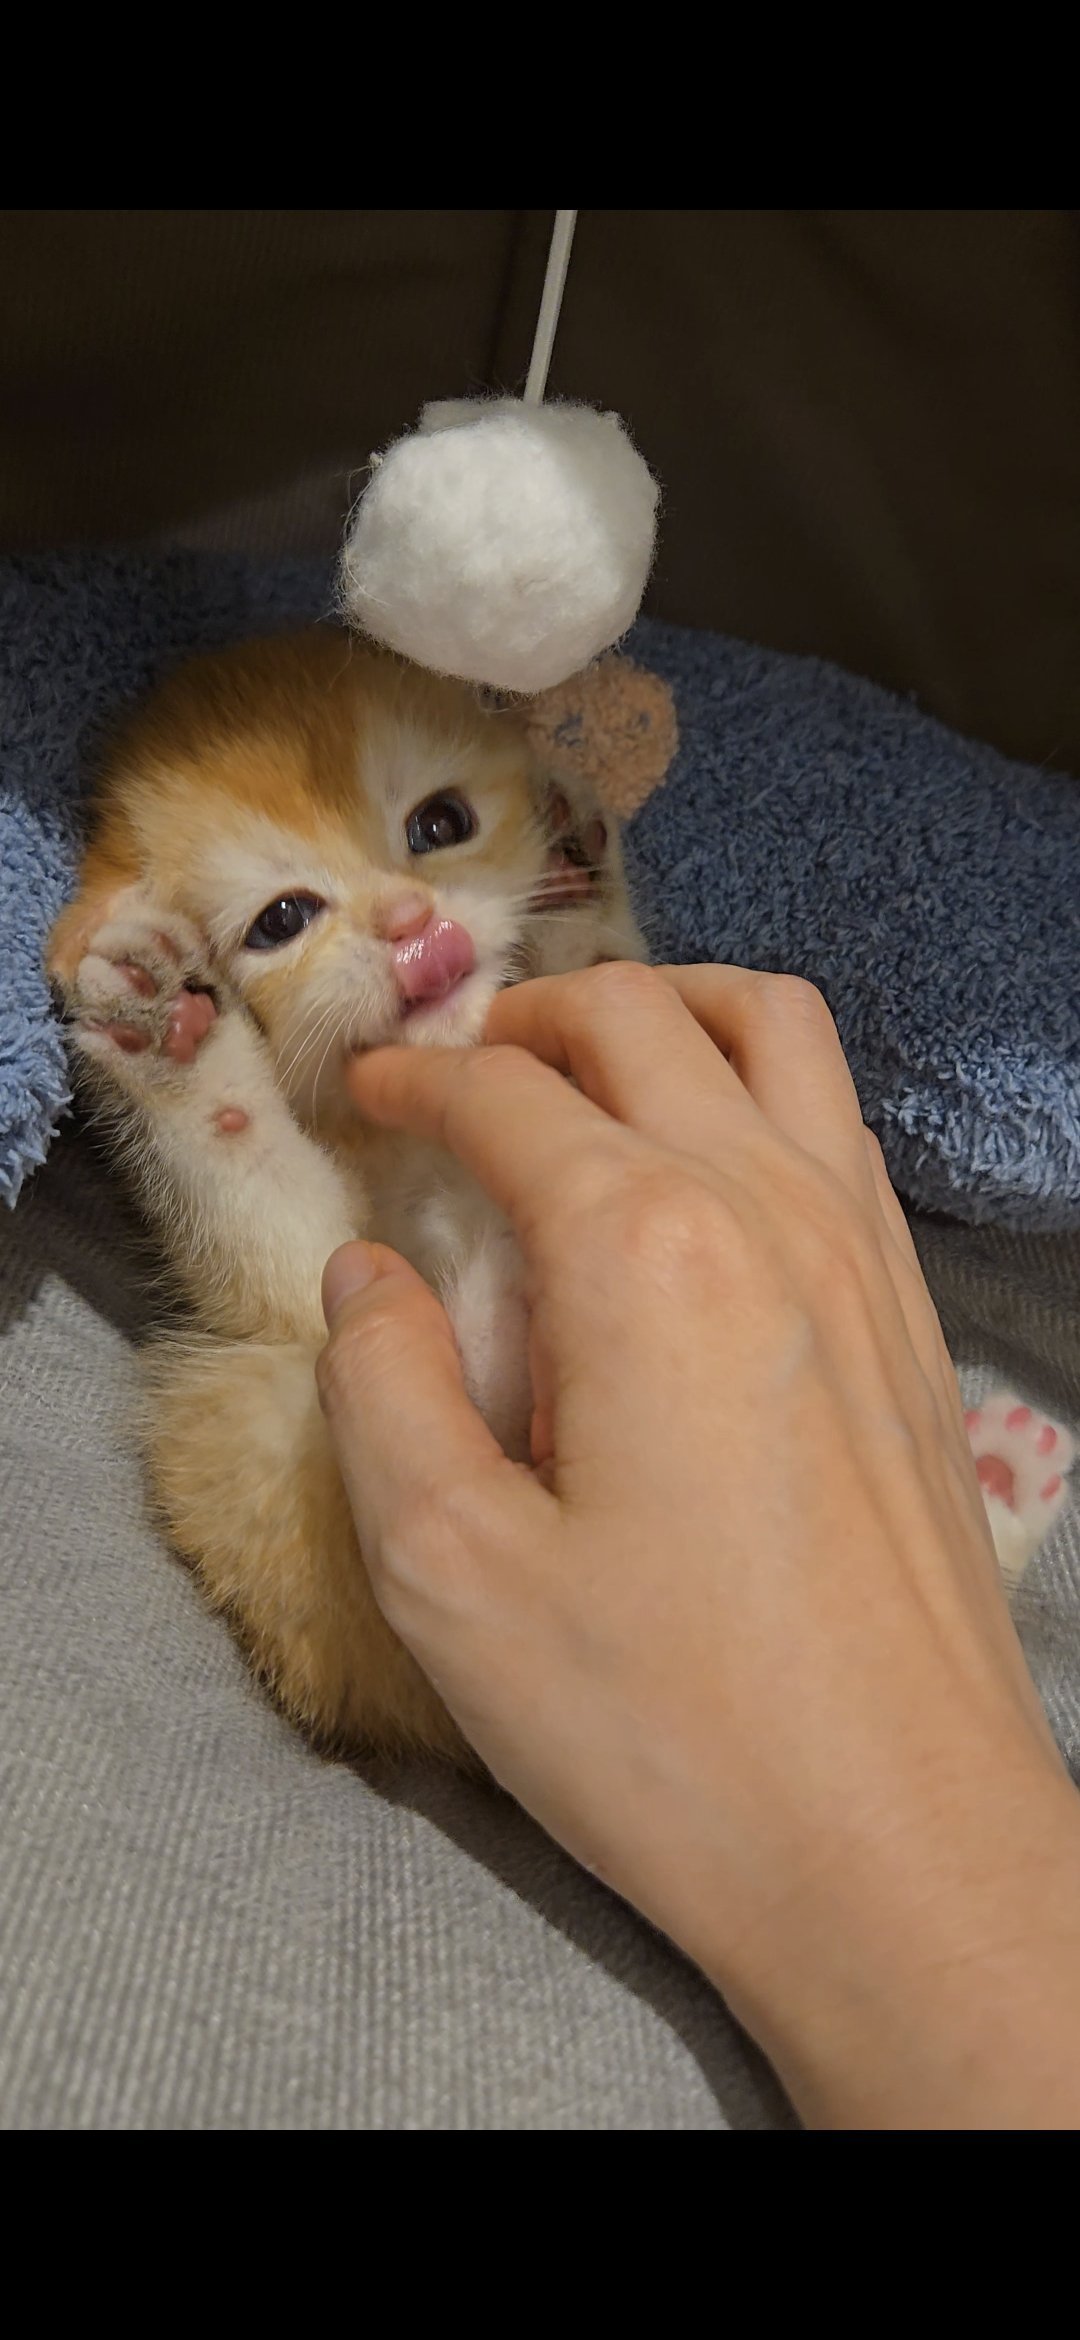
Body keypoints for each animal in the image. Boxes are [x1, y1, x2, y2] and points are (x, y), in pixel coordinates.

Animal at [47, 626, 1074, 1762]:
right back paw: (1003, 1480)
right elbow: (261, 1198)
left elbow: (603, 976)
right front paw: (171, 1040)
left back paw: (996, 1483)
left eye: (438, 824)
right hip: (265, 1456)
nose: (413, 928)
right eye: (282, 919)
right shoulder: (304, 1298)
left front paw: (576, 885)